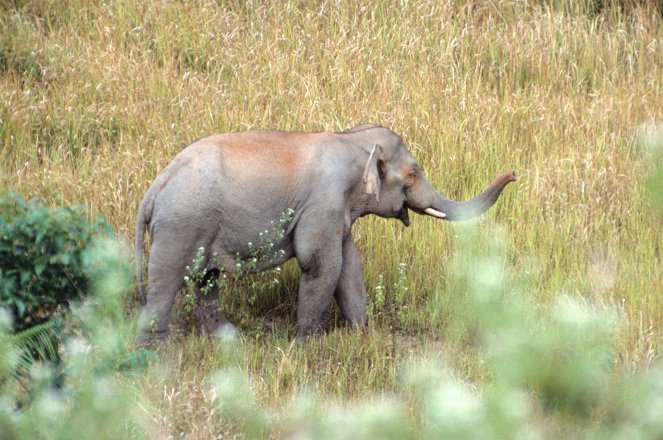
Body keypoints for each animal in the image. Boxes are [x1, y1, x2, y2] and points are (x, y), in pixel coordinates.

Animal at [135, 122, 516, 342]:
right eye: (412, 174)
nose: (513, 174)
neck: (350, 141)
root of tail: (154, 188)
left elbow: (349, 266)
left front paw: (361, 335)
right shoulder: (322, 205)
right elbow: (320, 263)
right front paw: (308, 344)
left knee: (205, 280)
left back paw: (230, 341)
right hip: (181, 225)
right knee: (167, 281)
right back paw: (156, 351)